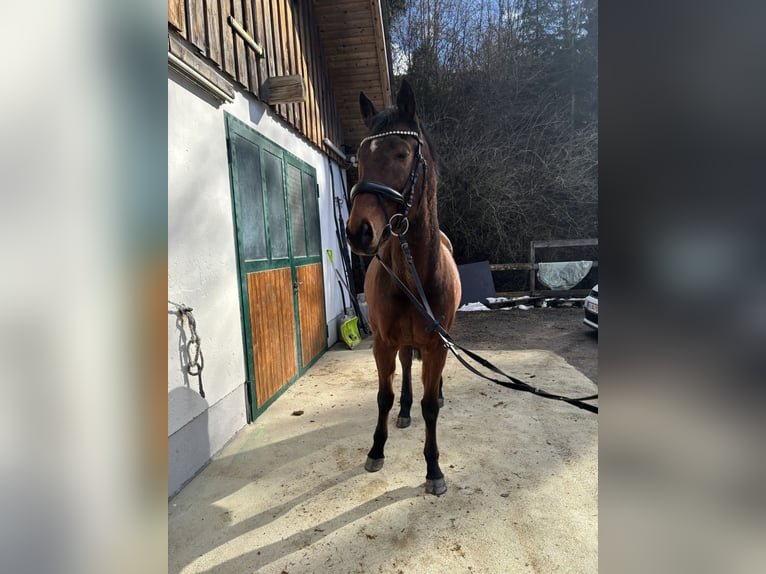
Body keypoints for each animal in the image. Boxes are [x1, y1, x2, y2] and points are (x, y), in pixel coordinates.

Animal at [345, 80, 461, 495]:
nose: (359, 231)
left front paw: (434, 470)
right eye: (360, 157)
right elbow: (384, 396)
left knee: (429, 383)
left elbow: (430, 407)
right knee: (407, 371)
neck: (415, 274)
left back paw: (436, 395)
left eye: (401, 153)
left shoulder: (435, 344)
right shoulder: (382, 343)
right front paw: (376, 450)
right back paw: (405, 410)